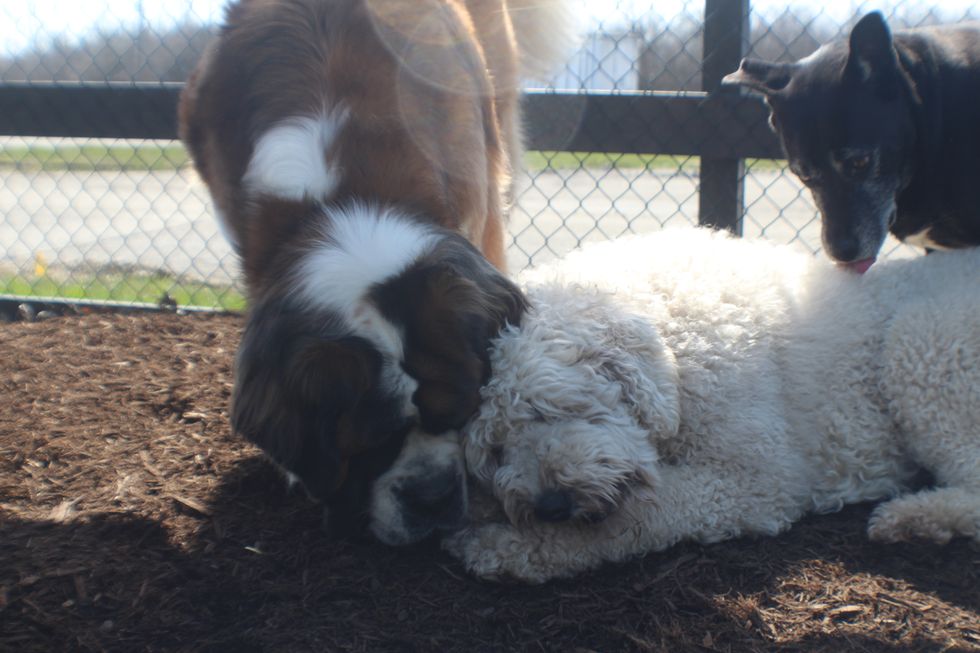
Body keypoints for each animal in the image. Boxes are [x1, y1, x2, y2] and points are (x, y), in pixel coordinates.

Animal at [443, 228, 980, 582]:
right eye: (495, 452)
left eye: (543, 410)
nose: (550, 506)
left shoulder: (754, 478)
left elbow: (640, 515)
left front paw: (508, 546)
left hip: (923, 346)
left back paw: (910, 519)